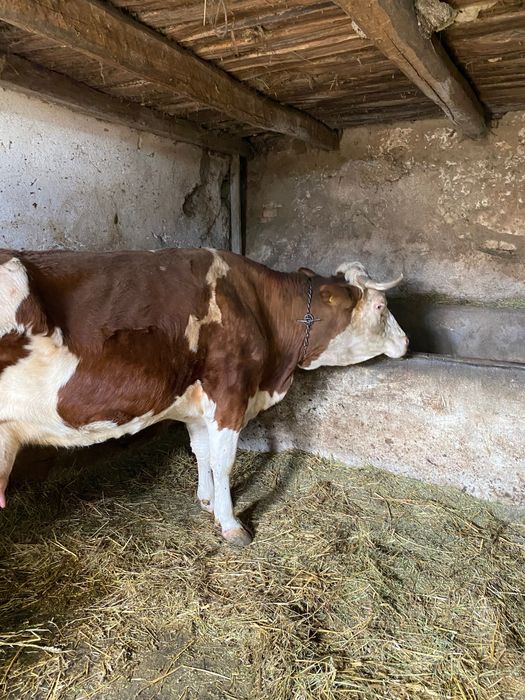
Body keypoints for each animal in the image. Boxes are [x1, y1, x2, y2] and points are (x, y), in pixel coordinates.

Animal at [0, 248, 408, 545]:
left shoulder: (196, 404)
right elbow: (223, 460)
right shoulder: (230, 393)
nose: (406, 342)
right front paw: (230, 523)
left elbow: (202, 451)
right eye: (380, 307)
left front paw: (207, 499)